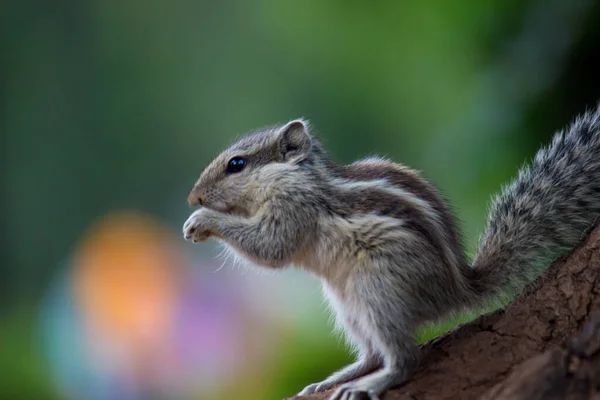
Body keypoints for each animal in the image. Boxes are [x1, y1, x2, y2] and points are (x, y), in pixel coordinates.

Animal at [180, 104, 600, 400]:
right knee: (372, 353)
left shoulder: (293, 206)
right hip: (346, 303)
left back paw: (370, 384)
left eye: (237, 164)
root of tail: (458, 290)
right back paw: (334, 379)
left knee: (402, 359)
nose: (192, 197)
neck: (300, 176)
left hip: (377, 288)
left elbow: (270, 246)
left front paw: (203, 220)